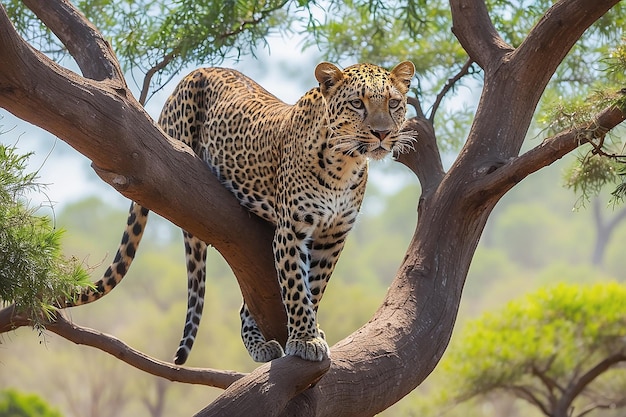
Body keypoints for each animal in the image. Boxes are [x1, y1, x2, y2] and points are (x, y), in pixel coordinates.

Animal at [67, 60, 414, 362]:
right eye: (357, 103)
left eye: (394, 103)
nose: (382, 133)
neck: (345, 164)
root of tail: (198, 69)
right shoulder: (292, 231)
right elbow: (296, 288)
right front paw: (305, 338)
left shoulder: (333, 236)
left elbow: (314, 286)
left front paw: (310, 331)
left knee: (245, 308)